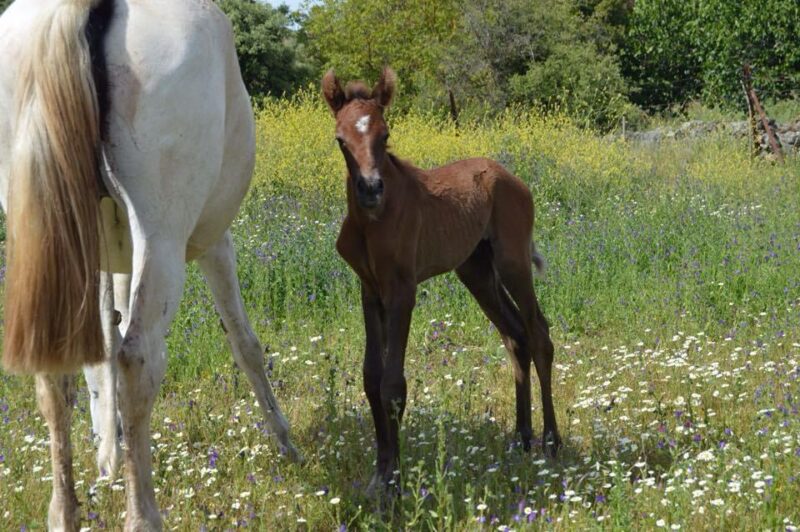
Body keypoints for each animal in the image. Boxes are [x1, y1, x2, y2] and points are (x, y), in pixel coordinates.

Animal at [0, 1, 300, 528]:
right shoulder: (214, 245)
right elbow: (244, 342)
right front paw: (283, 440)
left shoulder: (107, 256)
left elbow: (102, 348)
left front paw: (108, 452)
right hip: (163, 242)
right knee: (138, 358)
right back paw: (142, 514)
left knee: (59, 372)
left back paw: (66, 510)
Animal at [322, 67, 560, 494]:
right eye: (340, 139)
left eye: (385, 135)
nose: (370, 190)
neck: (372, 222)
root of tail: (513, 178)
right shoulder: (370, 291)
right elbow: (371, 377)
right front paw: (379, 474)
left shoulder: (402, 290)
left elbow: (392, 384)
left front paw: (395, 483)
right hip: (476, 272)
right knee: (515, 335)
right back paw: (521, 438)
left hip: (512, 262)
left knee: (538, 333)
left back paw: (551, 440)